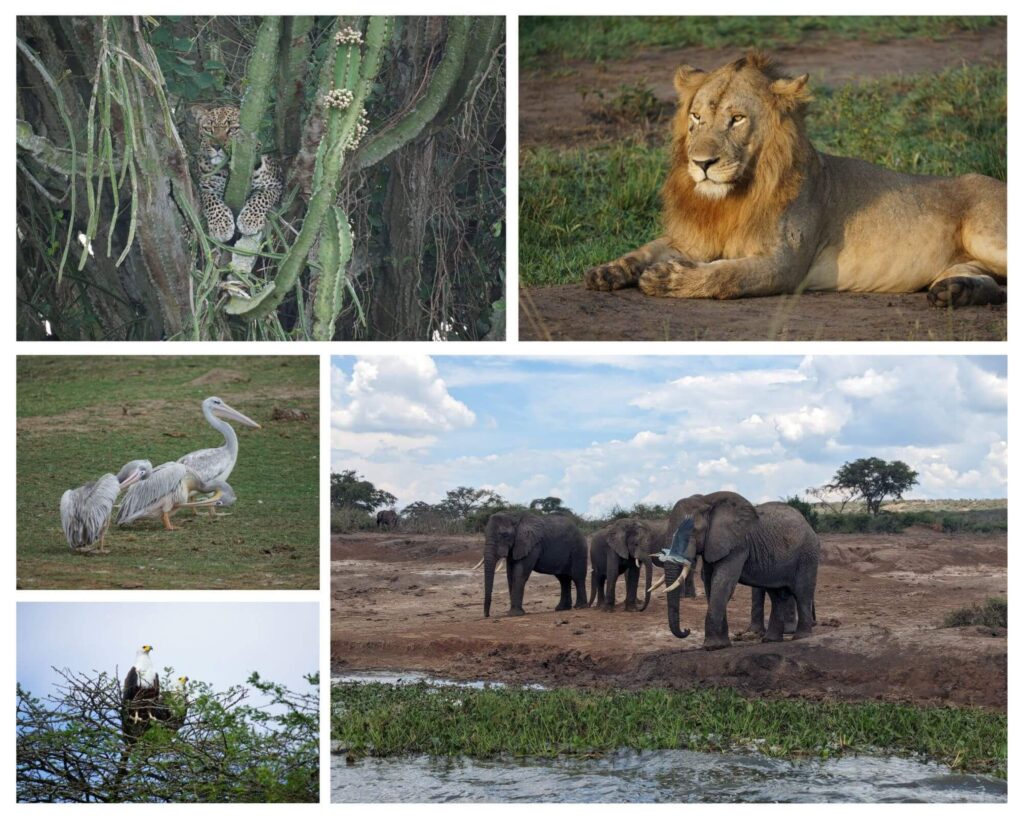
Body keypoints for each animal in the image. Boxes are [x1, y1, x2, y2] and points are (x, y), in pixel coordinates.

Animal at [585, 51, 1007, 307]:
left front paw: (666, 279)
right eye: (696, 118)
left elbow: (726, 274)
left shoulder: (786, 263)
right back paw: (956, 291)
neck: (731, 198)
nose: (702, 163)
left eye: (737, 119)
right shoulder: (692, 239)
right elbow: (646, 249)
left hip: (985, 234)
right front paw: (608, 270)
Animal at [659, 493, 819, 651]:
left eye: (691, 532)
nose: (687, 630)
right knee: (777, 595)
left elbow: (723, 583)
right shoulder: (713, 545)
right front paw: (722, 645)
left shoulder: (738, 545)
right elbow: (710, 583)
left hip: (807, 555)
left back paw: (801, 637)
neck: (706, 500)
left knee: (802, 592)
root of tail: (808, 525)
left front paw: (712, 646)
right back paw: (771, 640)